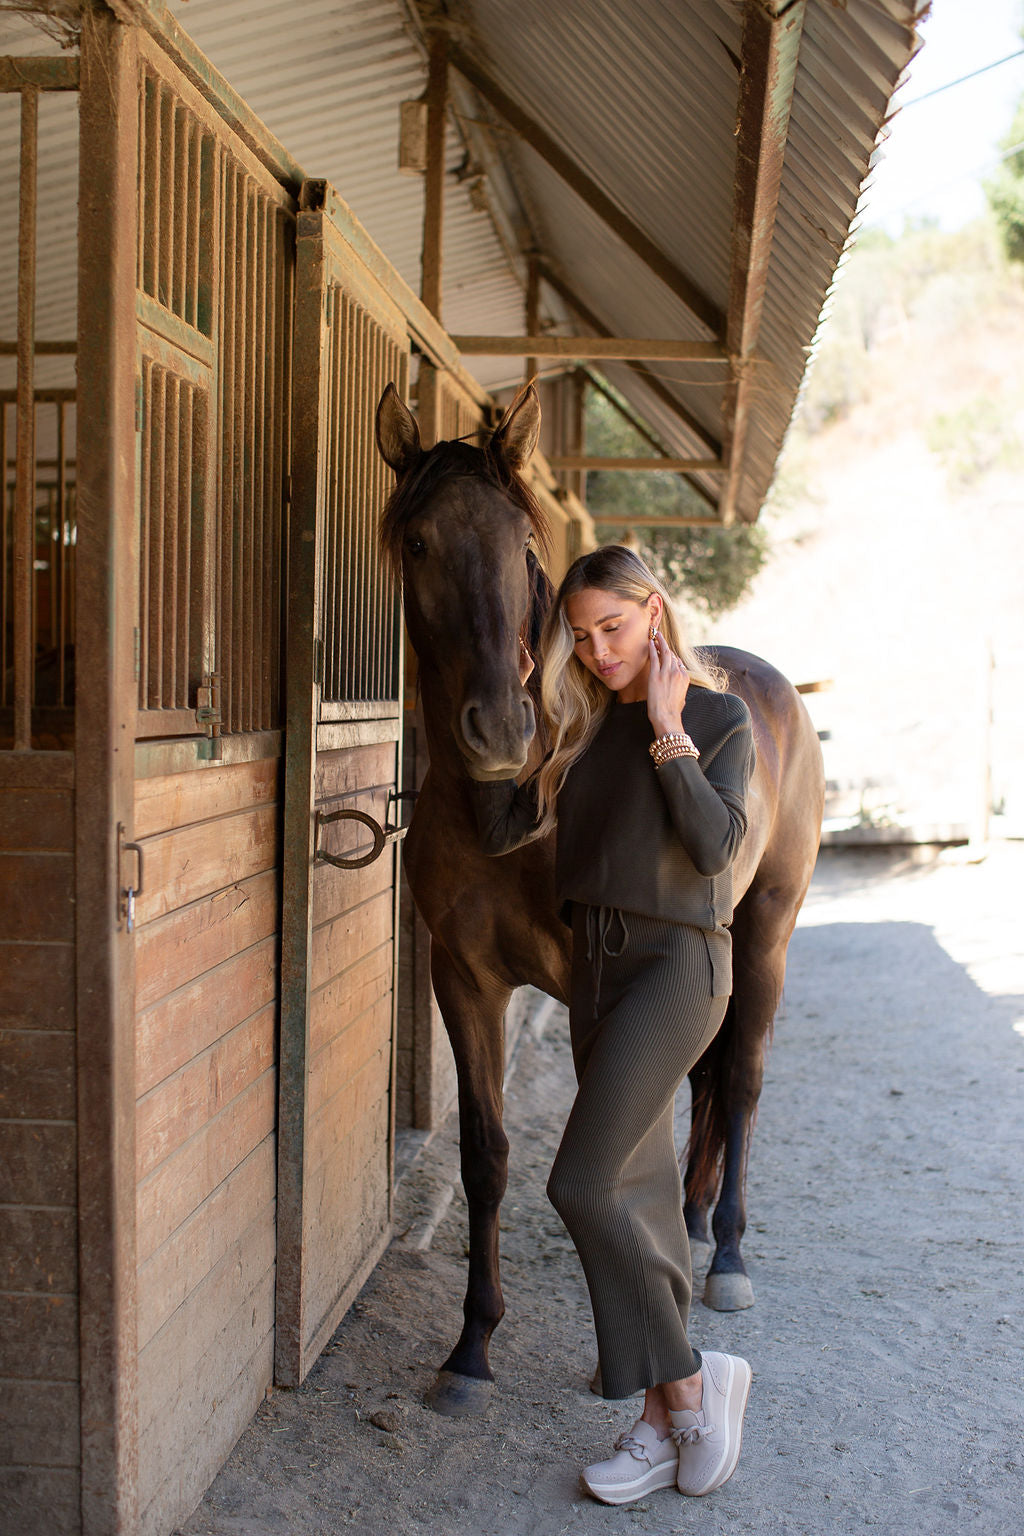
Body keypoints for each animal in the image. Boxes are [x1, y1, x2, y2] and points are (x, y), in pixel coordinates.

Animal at [376, 380, 822, 1413]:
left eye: (523, 545)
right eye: (417, 541)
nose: (501, 728)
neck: (514, 812)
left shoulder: (597, 986)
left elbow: (612, 1143)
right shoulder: (463, 980)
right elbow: (487, 1155)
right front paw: (471, 1347)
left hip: (765, 936)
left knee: (742, 1079)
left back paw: (726, 1253)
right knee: (707, 1078)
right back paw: (693, 1221)